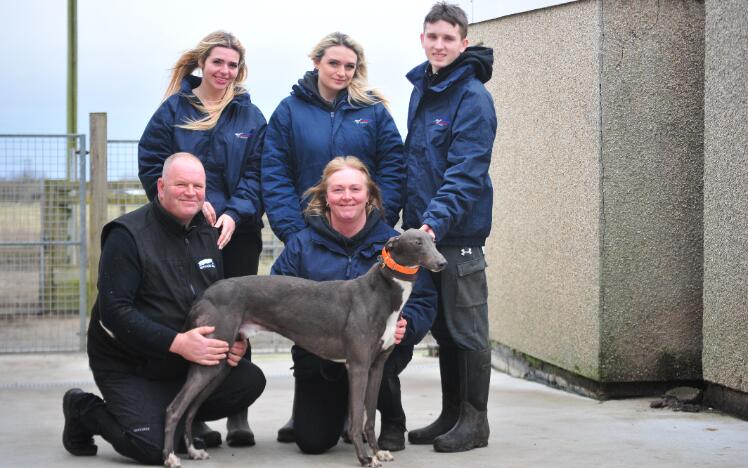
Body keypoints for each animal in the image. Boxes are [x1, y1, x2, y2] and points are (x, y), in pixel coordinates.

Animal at [162, 229, 444, 466]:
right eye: (417, 242)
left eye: (433, 241)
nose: (442, 263)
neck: (381, 293)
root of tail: (204, 295)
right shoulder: (358, 366)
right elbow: (356, 419)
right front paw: (365, 458)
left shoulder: (375, 368)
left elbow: (370, 419)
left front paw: (377, 452)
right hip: (210, 358)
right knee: (175, 408)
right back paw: (170, 457)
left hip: (219, 363)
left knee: (192, 409)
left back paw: (193, 451)